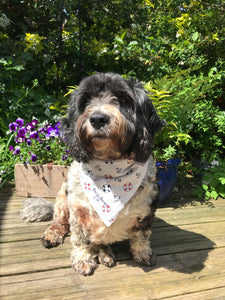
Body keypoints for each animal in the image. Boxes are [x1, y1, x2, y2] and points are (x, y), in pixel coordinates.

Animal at [20, 73, 165, 276]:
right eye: (86, 100)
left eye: (123, 99)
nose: (97, 118)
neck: (110, 168)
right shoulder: (78, 213)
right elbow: (81, 239)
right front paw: (83, 259)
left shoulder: (146, 210)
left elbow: (141, 236)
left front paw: (142, 253)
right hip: (62, 197)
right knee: (59, 222)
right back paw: (53, 235)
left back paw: (105, 253)